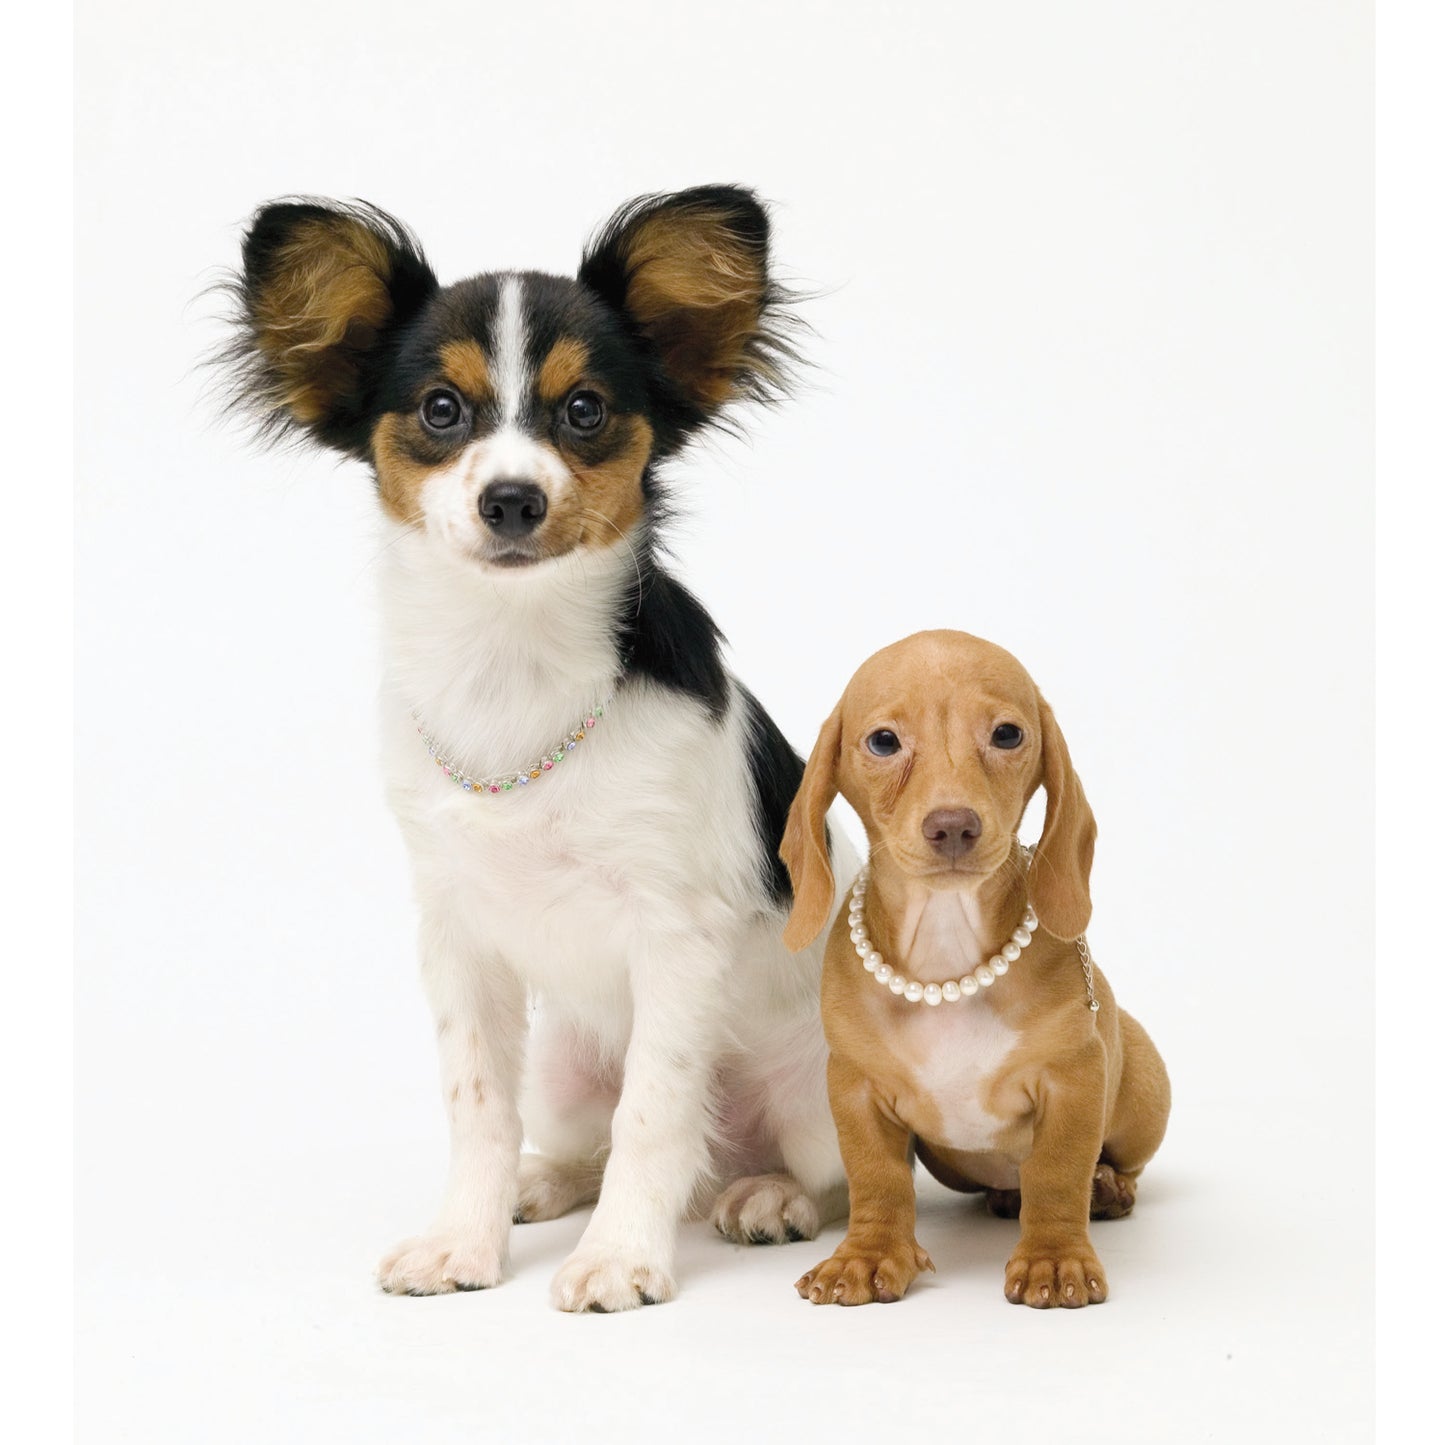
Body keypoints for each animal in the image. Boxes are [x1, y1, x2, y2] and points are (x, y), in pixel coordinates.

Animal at [216, 183, 843, 1312]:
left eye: (583, 410)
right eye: (440, 410)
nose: (512, 499)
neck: (512, 663)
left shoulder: (674, 934)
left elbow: (654, 1112)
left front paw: (621, 1257)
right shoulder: (455, 935)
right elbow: (477, 1104)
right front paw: (463, 1237)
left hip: (815, 1087)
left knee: (819, 1171)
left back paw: (766, 1194)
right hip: (562, 1063)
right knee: (588, 1137)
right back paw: (543, 1183)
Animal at [786, 632, 1167, 1312]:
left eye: (1008, 734)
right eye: (883, 742)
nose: (953, 825)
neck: (946, 957)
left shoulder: (1073, 1081)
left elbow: (1057, 1173)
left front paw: (1054, 1258)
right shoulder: (855, 1088)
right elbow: (877, 1178)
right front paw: (867, 1253)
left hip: (1145, 1100)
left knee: (1119, 1165)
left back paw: (1107, 1187)